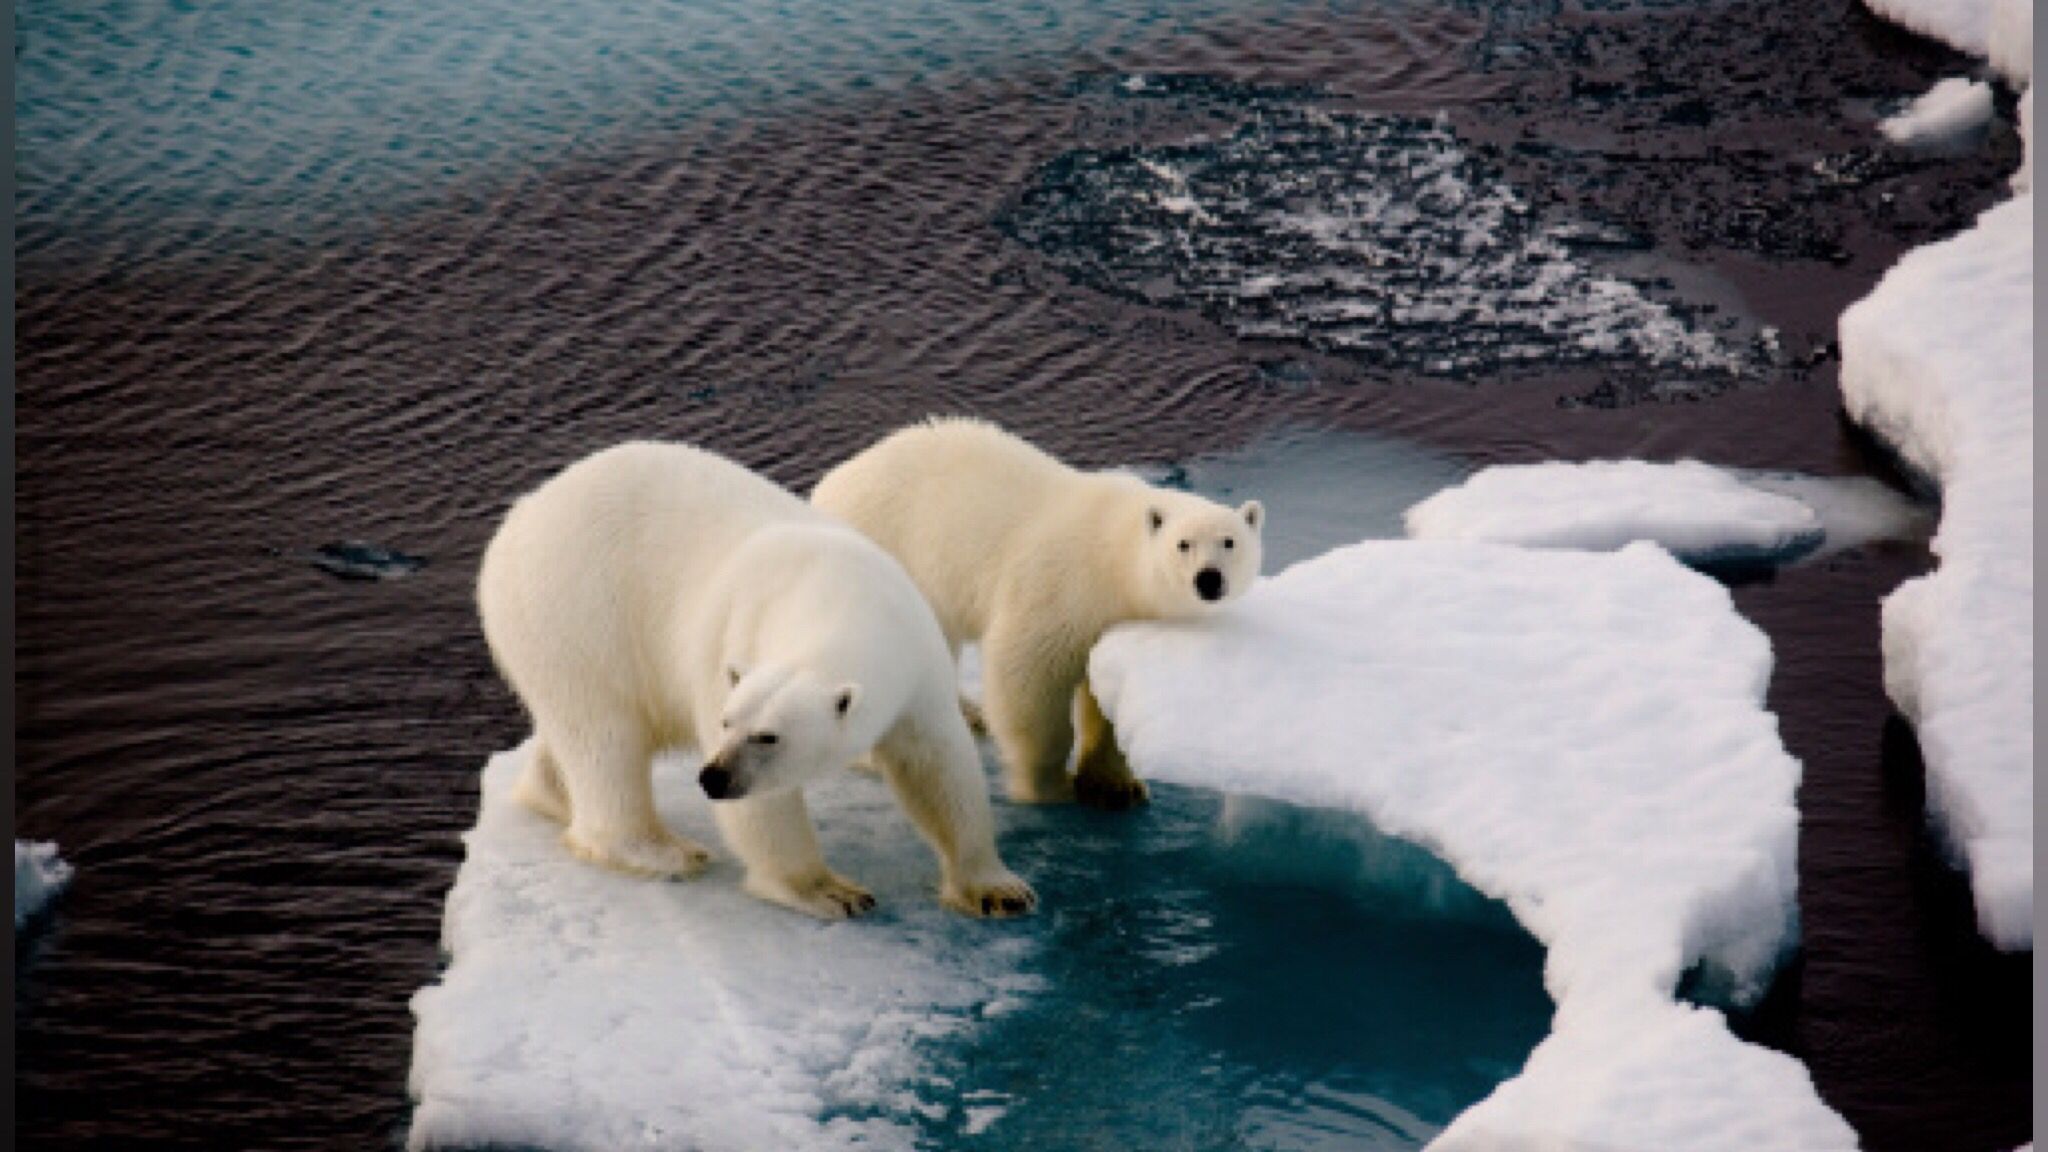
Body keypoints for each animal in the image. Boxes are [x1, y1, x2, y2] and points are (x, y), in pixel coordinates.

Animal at [479, 438, 1040, 914]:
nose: (713, 776)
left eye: (768, 736)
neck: (838, 593)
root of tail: (520, 516)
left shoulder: (916, 659)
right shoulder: (733, 639)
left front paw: (997, 889)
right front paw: (830, 891)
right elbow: (766, 809)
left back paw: (551, 793)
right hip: (576, 610)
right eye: (727, 724)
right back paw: (663, 850)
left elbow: (938, 765)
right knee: (604, 735)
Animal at [815, 420, 1261, 807]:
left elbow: (1105, 693)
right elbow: (1028, 674)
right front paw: (1048, 785)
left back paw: (968, 714)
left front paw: (1116, 787)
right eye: (1183, 544)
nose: (1209, 579)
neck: (1112, 555)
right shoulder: (1061, 586)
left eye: (1230, 541)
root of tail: (825, 487)